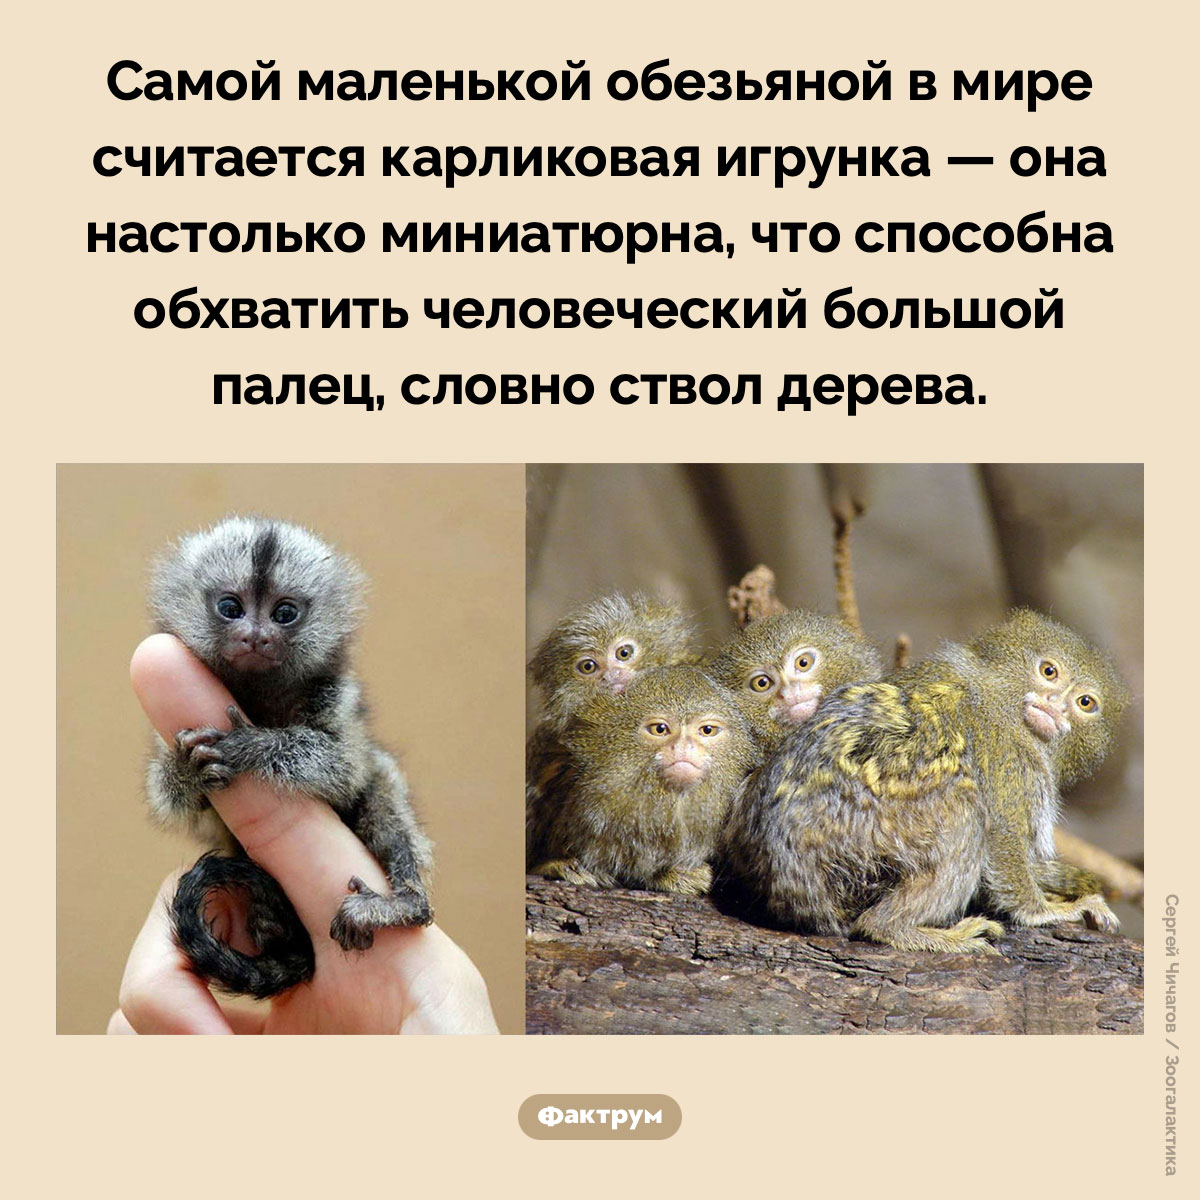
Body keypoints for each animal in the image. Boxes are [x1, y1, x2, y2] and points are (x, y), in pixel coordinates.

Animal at [145, 515, 433, 998]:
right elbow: (180, 804)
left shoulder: (333, 696)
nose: (255, 637)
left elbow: (346, 768)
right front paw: (184, 771)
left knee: (381, 786)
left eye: (284, 614)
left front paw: (251, 746)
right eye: (230, 607)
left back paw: (407, 904)